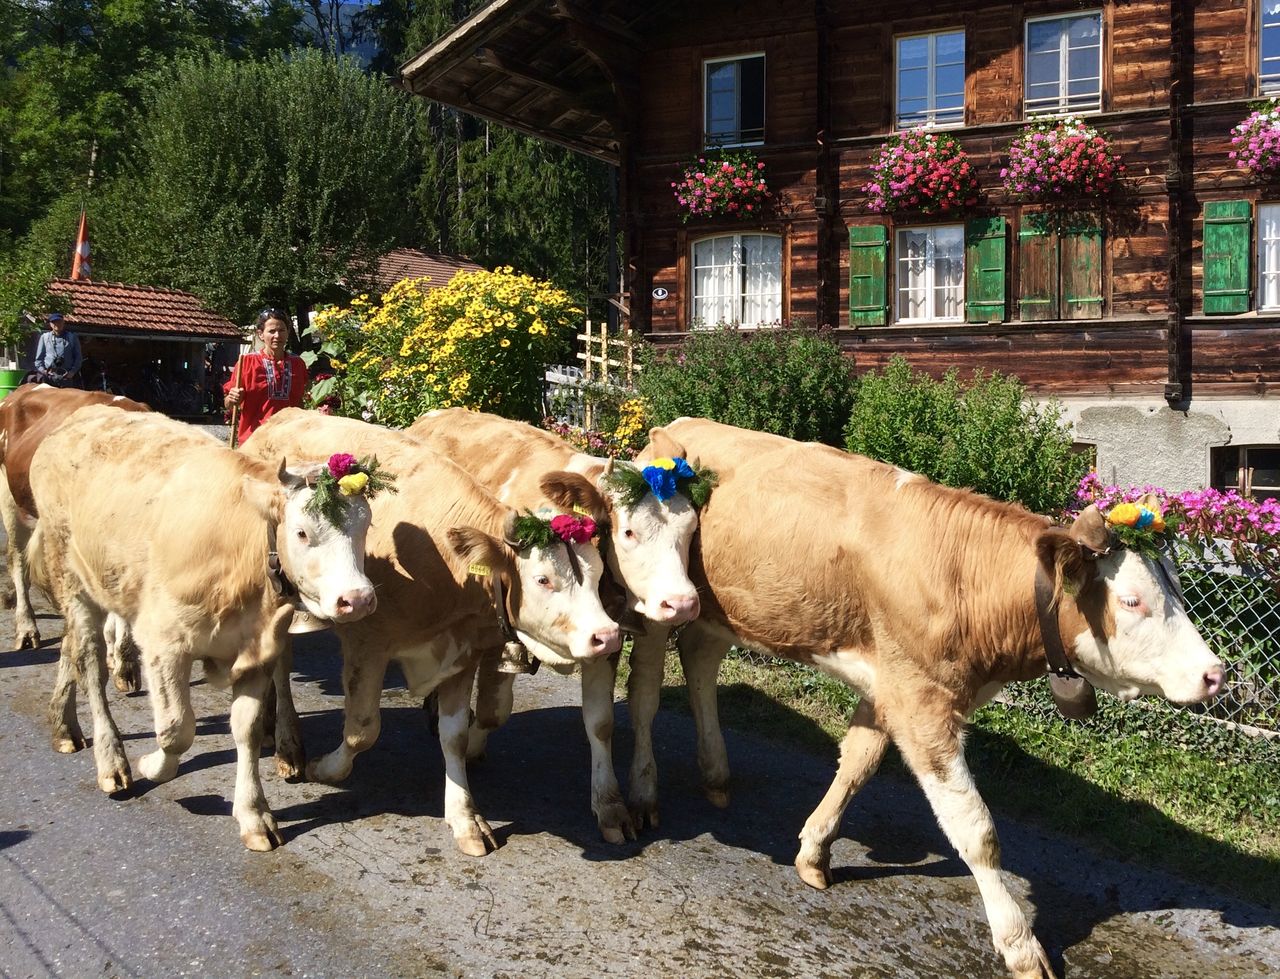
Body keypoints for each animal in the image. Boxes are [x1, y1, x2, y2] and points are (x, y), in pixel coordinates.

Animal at [26, 405, 378, 850]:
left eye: (365, 527)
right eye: (302, 532)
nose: (358, 598)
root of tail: (83, 416)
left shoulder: (257, 651)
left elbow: (246, 731)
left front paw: (254, 814)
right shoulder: (163, 644)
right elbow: (176, 729)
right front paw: (151, 765)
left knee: (70, 648)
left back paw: (64, 725)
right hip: (73, 581)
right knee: (89, 663)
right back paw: (111, 760)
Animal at [243, 408, 622, 856]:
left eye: (598, 573)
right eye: (543, 579)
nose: (607, 635)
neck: (441, 563)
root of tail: (283, 416)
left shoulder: (462, 650)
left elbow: (453, 736)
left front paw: (466, 818)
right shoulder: (366, 643)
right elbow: (362, 729)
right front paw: (327, 769)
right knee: (280, 668)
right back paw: (288, 746)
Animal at [407, 407, 703, 842]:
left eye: (691, 530)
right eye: (629, 531)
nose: (681, 603)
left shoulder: (615, 636)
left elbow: (607, 719)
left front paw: (617, 804)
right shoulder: (507, 634)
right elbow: (494, 710)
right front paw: (472, 748)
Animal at [625, 417, 1224, 979]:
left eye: (1176, 585)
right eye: (1132, 600)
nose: (1214, 674)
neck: (966, 579)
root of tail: (674, 430)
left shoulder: (896, 686)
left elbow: (858, 763)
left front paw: (814, 849)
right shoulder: (922, 701)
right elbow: (975, 829)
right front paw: (1019, 945)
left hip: (722, 610)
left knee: (700, 661)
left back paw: (715, 773)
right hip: (657, 604)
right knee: (646, 692)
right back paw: (642, 794)